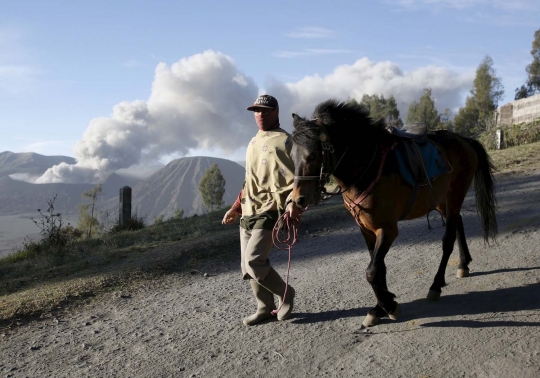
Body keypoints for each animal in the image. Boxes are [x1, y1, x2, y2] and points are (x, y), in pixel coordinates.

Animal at [288, 99, 496, 326]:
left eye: (311, 155)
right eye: (291, 156)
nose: (298, 199)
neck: (366, 169)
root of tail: (464, 139)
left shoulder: (387, 229)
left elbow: (372, 271)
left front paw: (389, 306)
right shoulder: (366, 229)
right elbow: (379, 268)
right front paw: (380, 307)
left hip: (456, 194)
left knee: (448, 239)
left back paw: (436, 284)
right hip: (443, 200)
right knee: (458, 224)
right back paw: (463, 264)